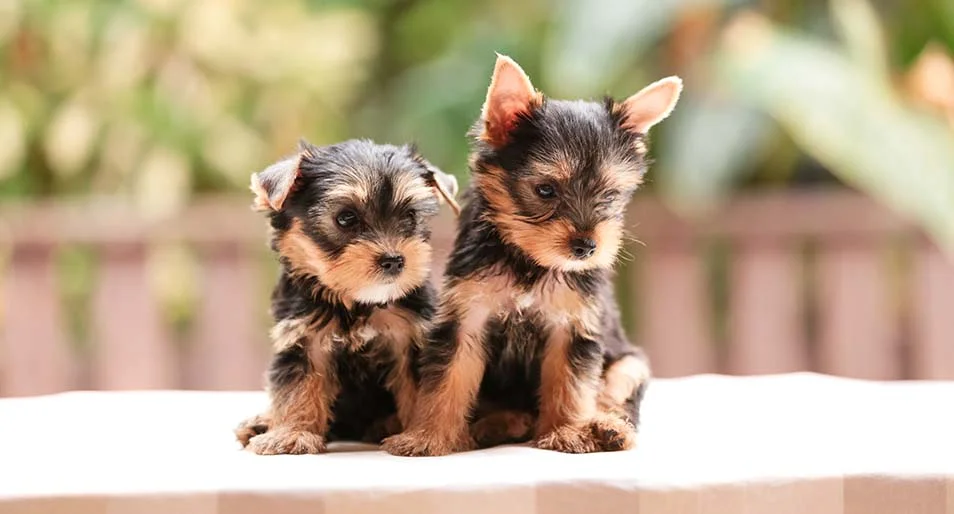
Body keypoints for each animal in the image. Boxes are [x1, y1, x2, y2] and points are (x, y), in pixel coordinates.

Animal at [238, 137, 462, 452]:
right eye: (345, 219)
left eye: (410, 216)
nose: (394, 260)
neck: (355, 301)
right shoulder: (302, 337)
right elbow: (297, 386)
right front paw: (292, 433)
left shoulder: (410, 336)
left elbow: (422, 390)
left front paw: (420, 435)